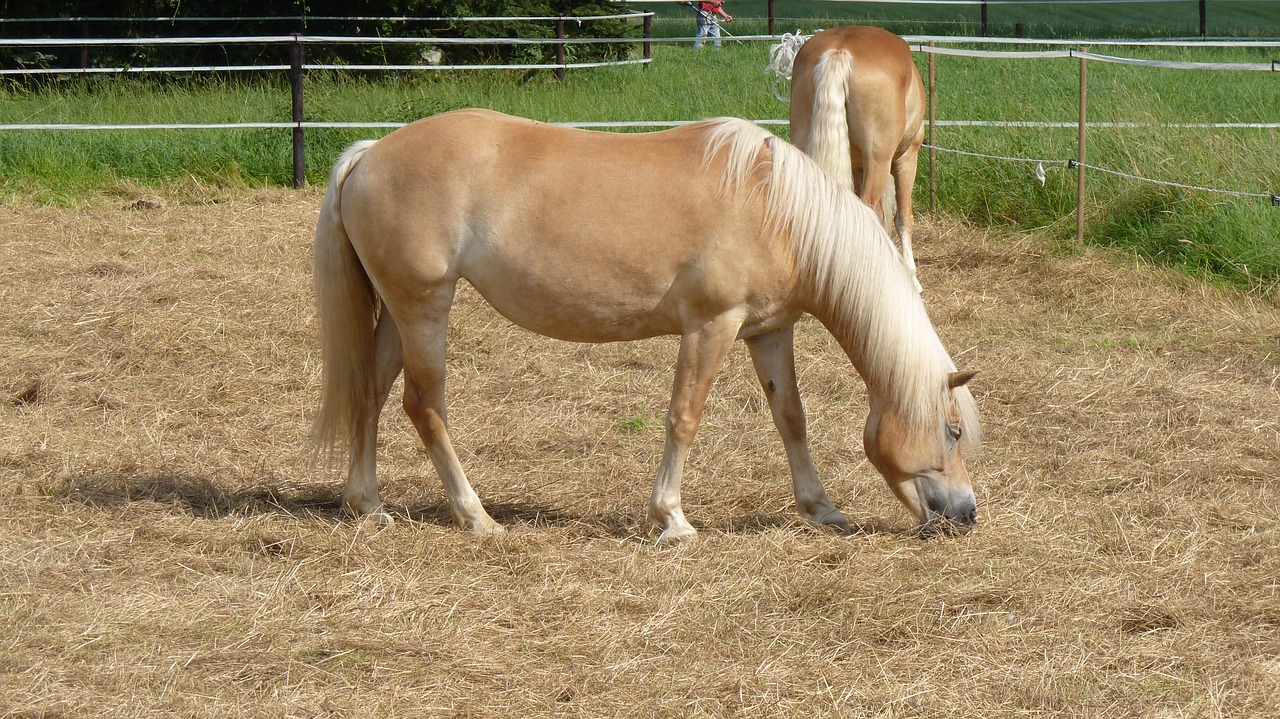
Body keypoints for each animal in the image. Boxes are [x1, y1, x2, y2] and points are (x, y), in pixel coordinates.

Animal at [309, 107, 977, 537]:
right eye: (953, 431)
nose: (968, 515)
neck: (777, 210)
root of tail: (369, 154)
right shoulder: (711, 327)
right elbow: (684, 417)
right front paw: (672, 518)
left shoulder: (767, 331)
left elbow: (791, 418)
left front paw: (821, 507)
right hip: (425, 307)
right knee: (424, 406)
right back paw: (476, 517)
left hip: (398, 312)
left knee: (369, 393)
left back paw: (368, 505)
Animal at [783, 25, 926, 287]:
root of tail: (839, 51)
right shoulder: (906, 158)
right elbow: (903, 218)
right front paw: (911, 278)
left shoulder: (859, 167)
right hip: (881, 162)